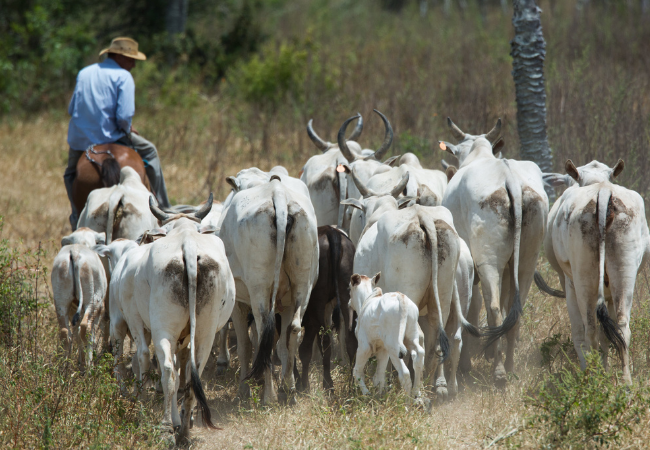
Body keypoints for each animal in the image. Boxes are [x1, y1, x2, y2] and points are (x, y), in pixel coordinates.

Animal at [52, 227, 108, 368]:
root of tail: (75, 252)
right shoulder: (100, 309)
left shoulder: (73, 309)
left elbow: (76, 333)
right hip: (92, 301)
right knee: (85, 328)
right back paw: (89, 367)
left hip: (61, 304)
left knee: (66, 333)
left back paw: (64, 369)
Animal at [109, 199, 235, 442]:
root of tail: (188, 246)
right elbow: (183, 372)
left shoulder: (134, 319)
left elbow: (147, 360)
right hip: (205, 333)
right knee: (192, 375)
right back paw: (184, 428)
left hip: (161, 329)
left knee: (165, 370)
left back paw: (165, 427)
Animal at [219, 176, 318, 404]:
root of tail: (278, 194)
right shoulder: (287, 303)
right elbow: (280, 344)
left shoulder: (238, 303)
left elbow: (246, 346)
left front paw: (243, 389)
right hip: (302, 285)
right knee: (294, 329)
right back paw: (289, 390)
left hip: (259, 289)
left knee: (265, 329)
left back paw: (269, 396)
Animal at [440, 117, 548, 386]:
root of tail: (511, 181)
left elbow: (472, 307)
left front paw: (467, 362)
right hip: (526, 261)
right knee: (514, 310)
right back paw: (508, 365)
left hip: (488, 261)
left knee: (495, 308)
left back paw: (498, 371)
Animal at [532, 159, 648, 384]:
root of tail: (602, 192)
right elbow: (607, 334)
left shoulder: (569, 284)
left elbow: (580, 333)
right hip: (624, 273)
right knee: (621, 327)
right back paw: (625, 383)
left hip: (583, 279)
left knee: (590, 330)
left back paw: (593, 377)